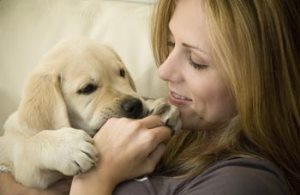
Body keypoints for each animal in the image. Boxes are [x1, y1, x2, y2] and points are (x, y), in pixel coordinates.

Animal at [0, 38, 180, 189]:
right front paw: (69, 147)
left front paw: (158, 106)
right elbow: (29, 144)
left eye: (122, 72)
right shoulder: (29, 169)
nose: (134, 106)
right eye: (87, 89)